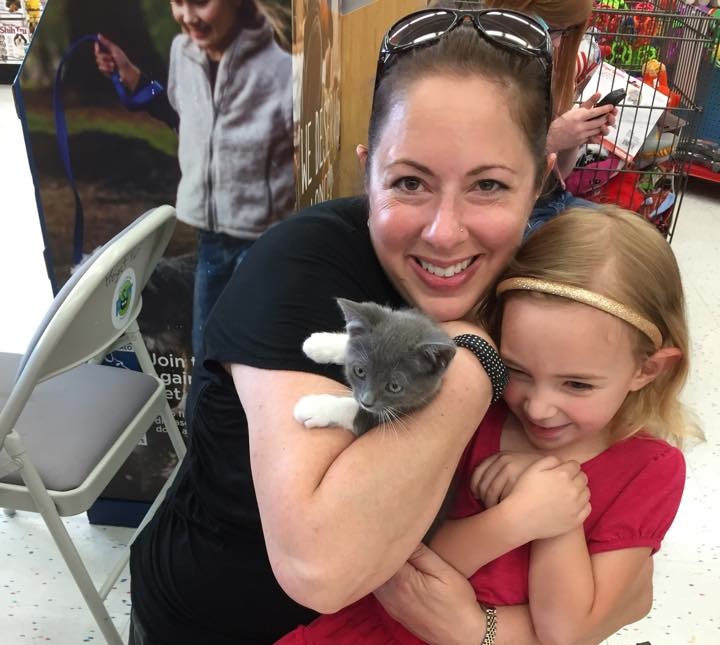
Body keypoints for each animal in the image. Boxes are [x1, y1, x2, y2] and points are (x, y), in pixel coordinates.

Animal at [293, 298, 456, 437]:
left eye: (394, 387)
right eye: (359, 371)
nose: (366, 402)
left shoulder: (416, 403)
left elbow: (360, 414)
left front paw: (314, 407)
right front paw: (319, 344)